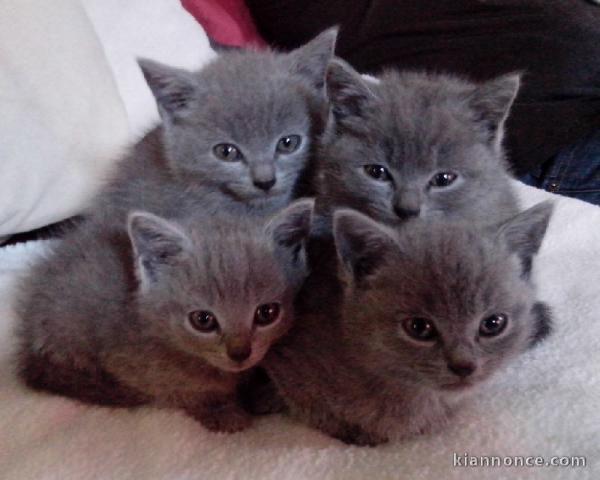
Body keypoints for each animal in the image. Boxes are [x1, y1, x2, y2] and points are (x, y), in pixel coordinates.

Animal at [16, 201, 314, 434]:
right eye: (203, 320)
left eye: (267, 313)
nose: (240, 352)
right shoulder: (131, 365)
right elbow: (182, 391)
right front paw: (221, 412)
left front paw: (264, 393)